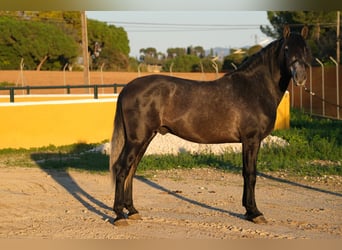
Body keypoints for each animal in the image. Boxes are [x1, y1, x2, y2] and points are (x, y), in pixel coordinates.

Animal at [109, 24, 310, 225]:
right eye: (286, 49)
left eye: (305, 49)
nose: (300, 77)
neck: (254, 88)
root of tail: (127, 88)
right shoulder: (251, 140)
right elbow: (250, 174)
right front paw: (254, 212)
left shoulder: (249, 141)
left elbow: (247, 173)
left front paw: (248, 210)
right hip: (137, 140)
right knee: (121, 168)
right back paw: (119, 215)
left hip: (145, 138)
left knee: (131, 170)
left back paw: (132, 210)